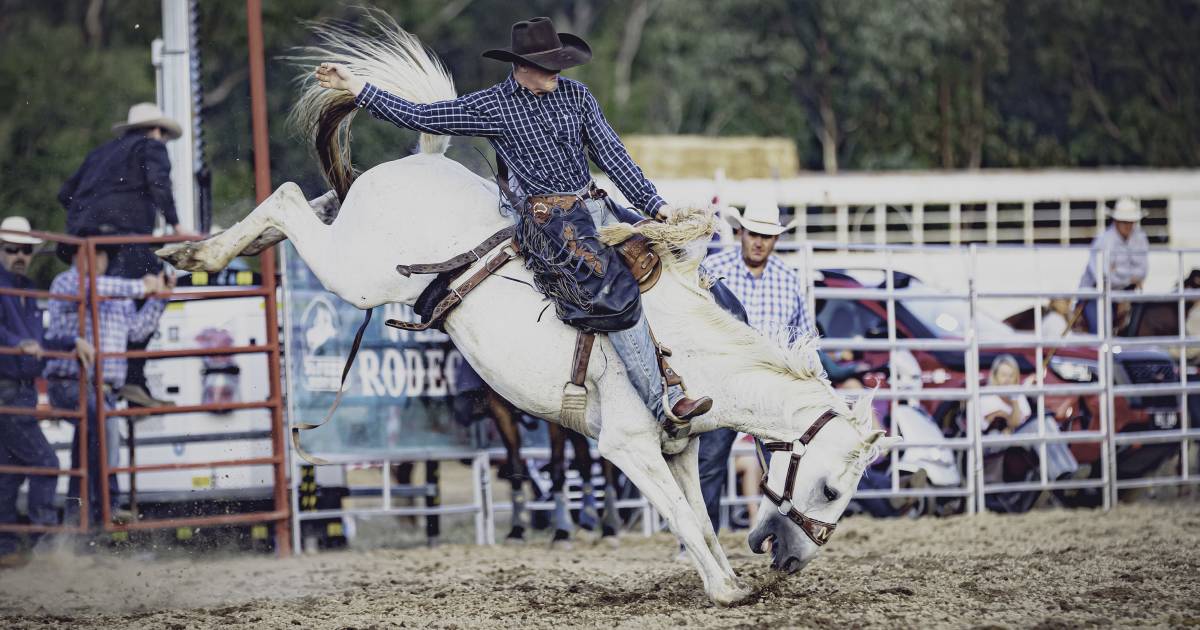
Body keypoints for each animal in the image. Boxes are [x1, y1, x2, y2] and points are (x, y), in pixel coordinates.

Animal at [164, 14, 902, 604]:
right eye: (832, 490)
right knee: (287, 197)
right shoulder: (627, 445)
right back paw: (195, 253)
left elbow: (701, 517)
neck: (693, 360)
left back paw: (199, 250)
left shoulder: (682, 450)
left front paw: (724, 576)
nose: (792, 557)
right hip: (357, 275)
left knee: (311, 201)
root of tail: (417, 163)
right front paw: (727, 592)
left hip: (348, 241)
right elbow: (684, 519)